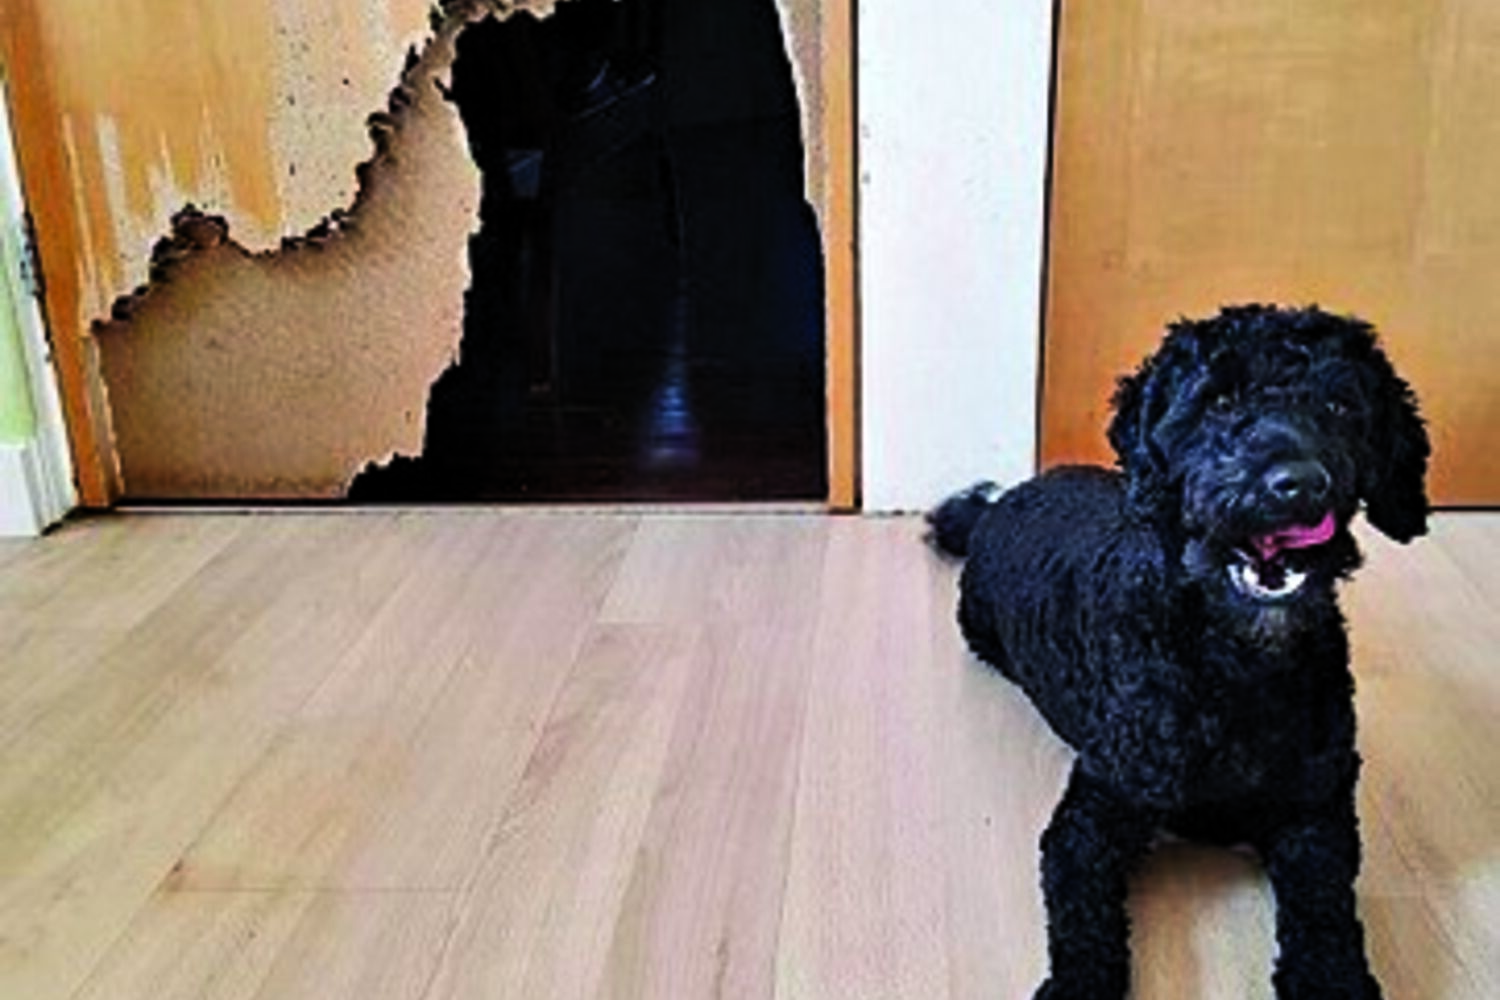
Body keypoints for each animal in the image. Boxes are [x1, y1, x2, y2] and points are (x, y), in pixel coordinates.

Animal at [929, 305, 1429, 999]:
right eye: (1219, 401)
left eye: (1340, 405)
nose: (1299, 485)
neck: (1236, 667)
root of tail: (1004, 502)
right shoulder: (1093, 817)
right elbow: (1083, 920)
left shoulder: (1318, 813)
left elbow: (1327, 914)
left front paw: (1333, 980)